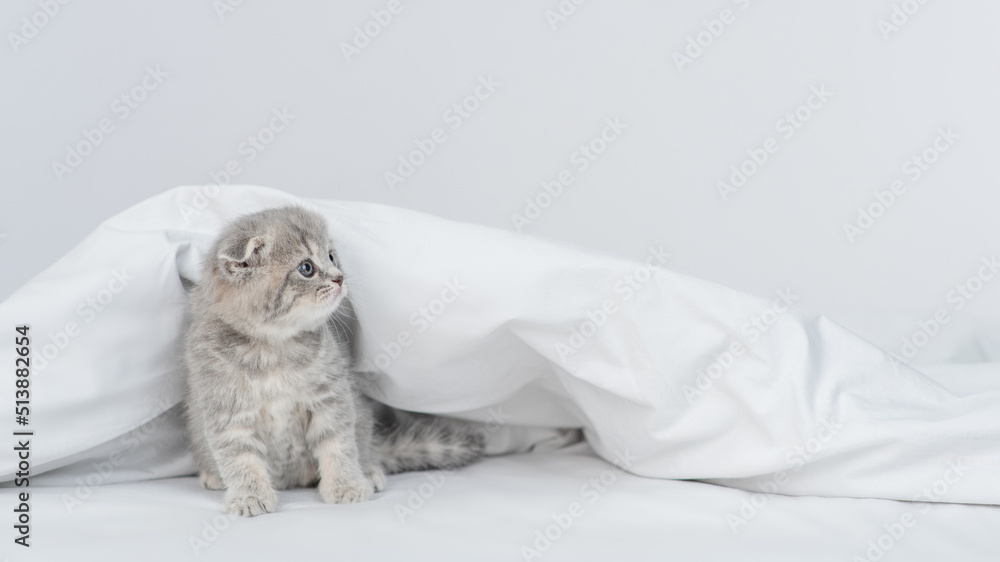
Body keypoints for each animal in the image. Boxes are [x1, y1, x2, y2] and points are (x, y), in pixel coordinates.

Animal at [186, 207, 486, 516]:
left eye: (331, 256)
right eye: (306, 268)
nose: (340, 278)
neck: (273, 349)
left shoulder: (330, 396)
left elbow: (337, 444)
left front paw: (347, 485)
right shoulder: (226, 408)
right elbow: (240, 459)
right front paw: (249, 496)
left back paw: (369, 470)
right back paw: (212, 477)